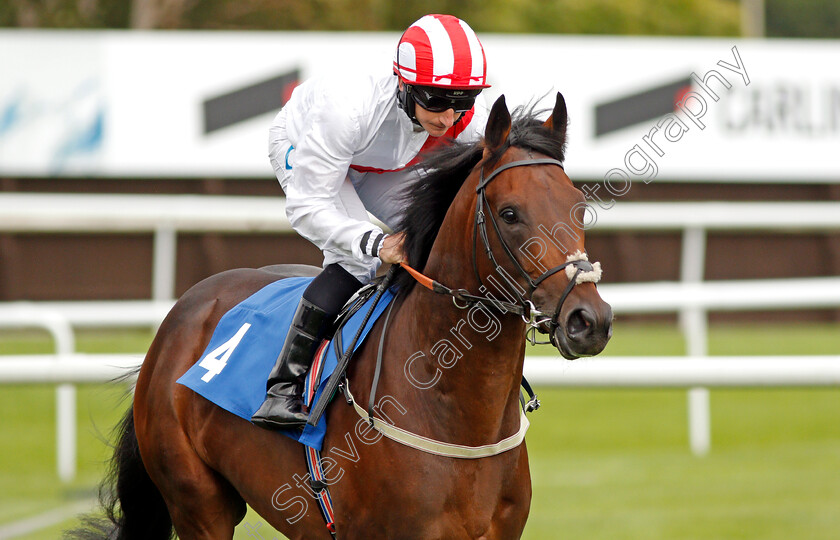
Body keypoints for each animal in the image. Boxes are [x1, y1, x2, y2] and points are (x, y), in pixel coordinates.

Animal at [69, 95, 612, 536]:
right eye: (510, 213)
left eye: (579, 206)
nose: (589, 320)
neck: (455, 412)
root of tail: (182, 313)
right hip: (198, 505)